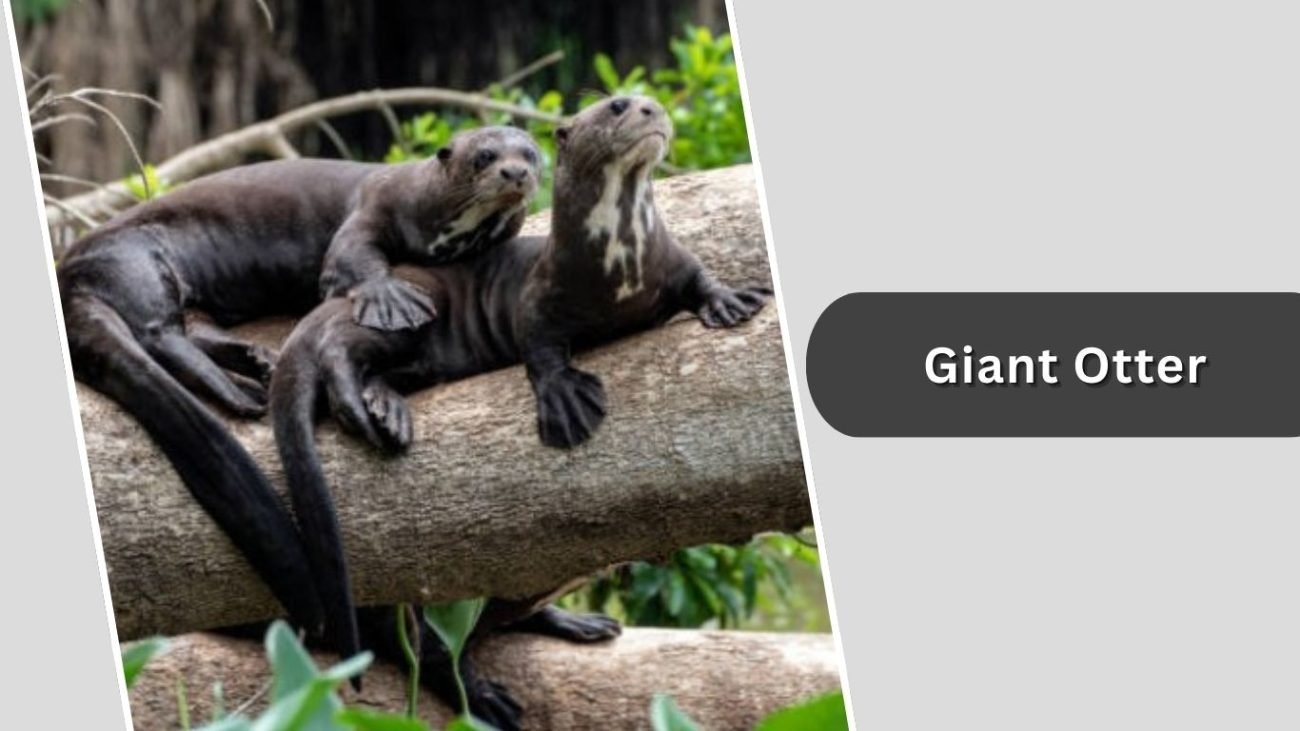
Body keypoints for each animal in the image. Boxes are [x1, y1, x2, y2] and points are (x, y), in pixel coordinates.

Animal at [57, 126, 541, 659]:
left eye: (531, 152)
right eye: (485, 156)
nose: (516, 172)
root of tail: (67, 274)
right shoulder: (374, 206)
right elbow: (351, 258)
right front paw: (391, 299)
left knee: (193, 330)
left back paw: (258, 365)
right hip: (137, 262)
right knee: (157, 333)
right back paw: (243, 392)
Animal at [267, 95, 769, 725]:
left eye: (644, 101)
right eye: (617, 105)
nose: (650, 109)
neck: (620, 261)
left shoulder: (671, 260)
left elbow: (701, 277)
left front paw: (732, 301)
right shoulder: (538, 297)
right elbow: (540, 345)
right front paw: (565, 402)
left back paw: (580, 623)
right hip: (404, 318)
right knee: (432, 651)